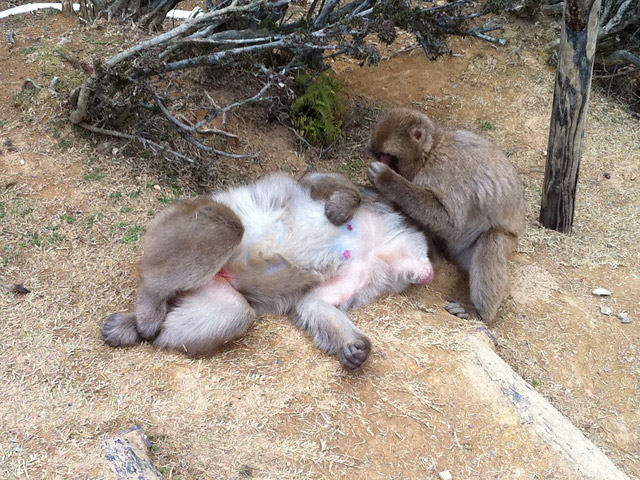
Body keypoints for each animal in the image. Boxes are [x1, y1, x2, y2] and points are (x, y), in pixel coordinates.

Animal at [104, 174, 436, 370]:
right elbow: (320, 182)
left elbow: (314, 304)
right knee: (229, 227)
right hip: (178, 219)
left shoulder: (360, 275)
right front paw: (343, 204)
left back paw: (138, 327)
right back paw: (151, 304)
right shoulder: (377, 208)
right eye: (426, 253)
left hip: (208, 285)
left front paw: (354, 348)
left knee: (234, 313)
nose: (429, 273)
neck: (375, 247)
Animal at [368, 108, 524, 326]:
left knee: (492, 241)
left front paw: (386, 179)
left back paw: (480, 312)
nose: (380, 162)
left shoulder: (444, 170)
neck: (431, 151)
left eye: (388, 156)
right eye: (379, 154)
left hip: (497, 242)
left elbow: (451, 223)